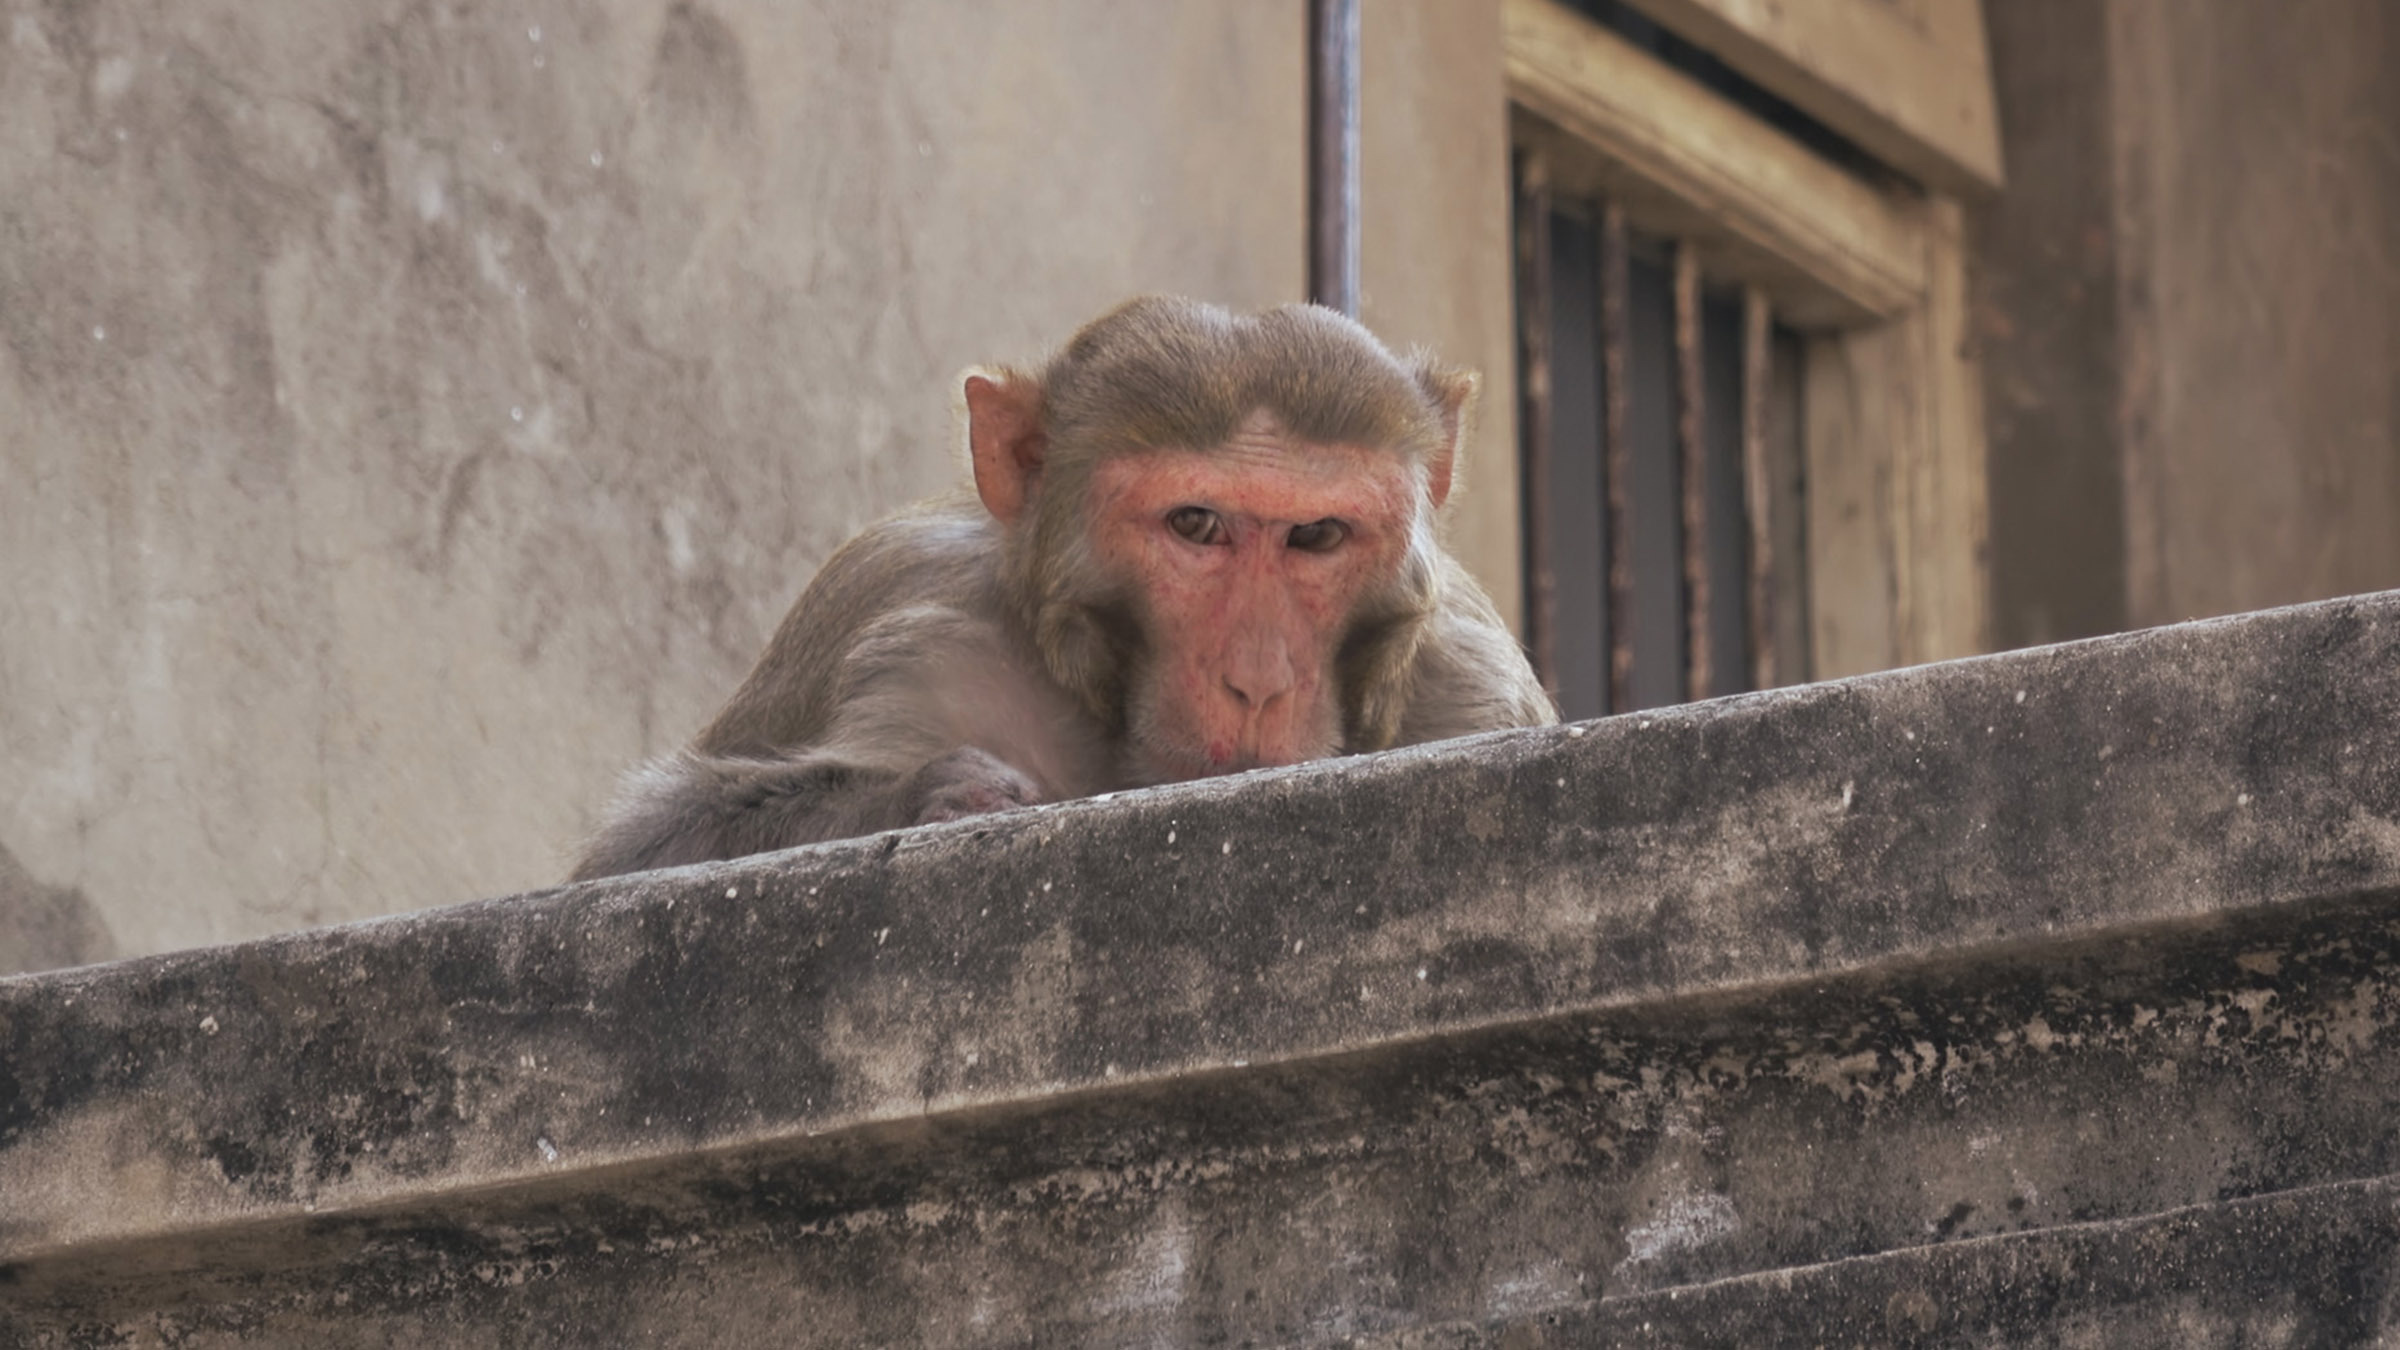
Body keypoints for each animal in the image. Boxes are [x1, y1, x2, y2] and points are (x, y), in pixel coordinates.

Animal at [571, 296, 1555, 881]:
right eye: (1195, 524)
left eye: (1316, 535)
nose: (1258, 680)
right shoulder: (902, 597)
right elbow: (639, 847)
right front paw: (931, 797)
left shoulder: (1477, 681)